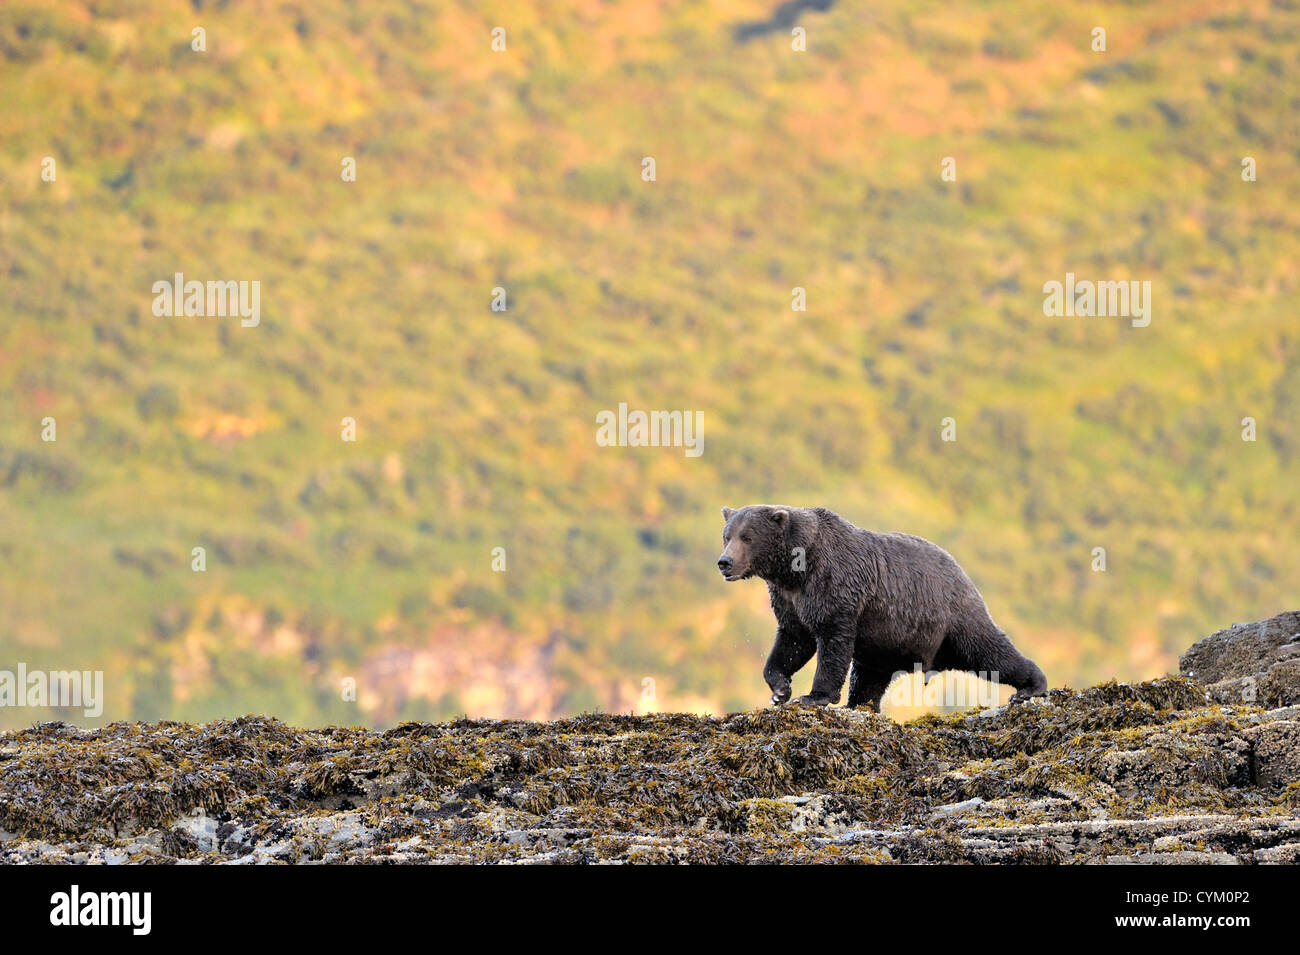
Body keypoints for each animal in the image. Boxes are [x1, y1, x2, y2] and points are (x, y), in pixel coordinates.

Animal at [717, 509, 1050, 712]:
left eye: (747, 537)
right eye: (727, 535)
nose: (725, 562)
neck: (795, 569)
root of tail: (961, 571)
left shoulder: (836, 587)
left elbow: (831, 642)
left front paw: (813, 696)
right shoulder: (789, 599)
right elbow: (793, 642)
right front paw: (780, 689)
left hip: (951, 617)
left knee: (988, 650)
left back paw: (1030, 686)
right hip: (885, 642)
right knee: (868, 678)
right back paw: (860, 705)